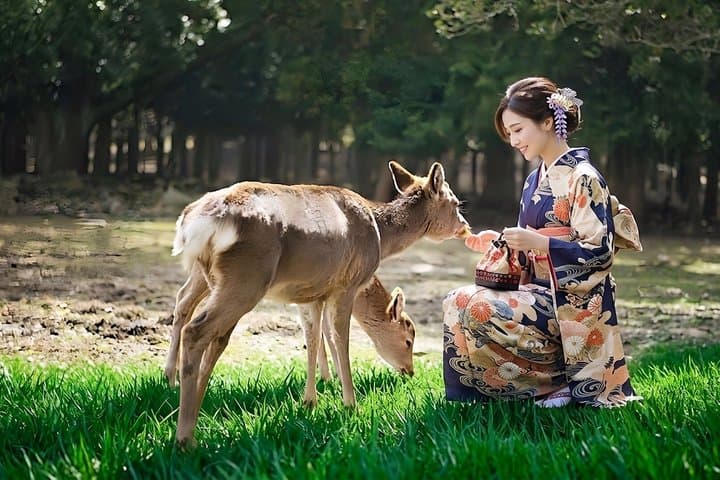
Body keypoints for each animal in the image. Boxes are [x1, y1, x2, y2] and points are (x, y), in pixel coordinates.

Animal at [170, 160, 470, 447]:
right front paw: (350, 405)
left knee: (211, 332)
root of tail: (195, 222)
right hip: (246, 277)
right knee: (196, 330)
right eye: (456, 203)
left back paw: (190, 407)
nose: (465, 226)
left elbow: (312, 338)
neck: (379, 235)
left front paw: (310, 402)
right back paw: (185, 437)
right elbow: (340, 340)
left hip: (219, 280)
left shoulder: (312, 293)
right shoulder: (346, 285)